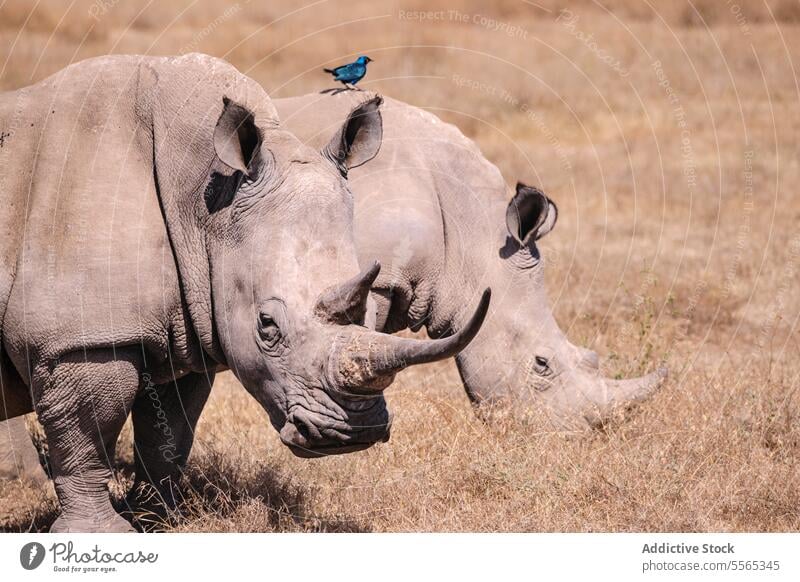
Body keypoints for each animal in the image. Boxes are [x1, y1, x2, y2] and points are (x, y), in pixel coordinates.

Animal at [0, 56, 488, 532]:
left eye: (372, 312)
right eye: (266, 326)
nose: (355, 432)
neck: (202, 202)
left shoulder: (187, 322)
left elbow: (169, 432)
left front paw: (161, 520)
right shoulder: (79, 339)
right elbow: (87, 437)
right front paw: (100, 534)